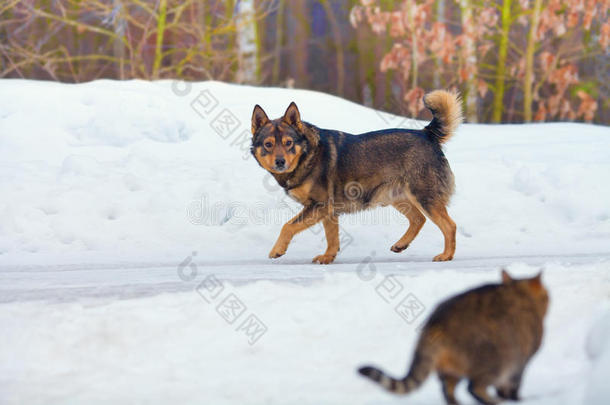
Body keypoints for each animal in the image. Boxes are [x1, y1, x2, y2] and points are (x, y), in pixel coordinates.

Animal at [248, 90, 460, 264]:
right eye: (268, 144)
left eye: (288, 143)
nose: (280, 162)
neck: (308, 155)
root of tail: (427, 134)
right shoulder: (328, 211)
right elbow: (332, 238)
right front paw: (328, 257)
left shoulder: (319, 205)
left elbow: (287, 226)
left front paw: (277, 250)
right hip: (397, 197)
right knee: (418, 220)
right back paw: (401, 244)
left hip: (424, 197)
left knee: (449, 226)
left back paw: (446, 255)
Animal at [356, 268, 548, 404]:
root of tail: (437, 324)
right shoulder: (520, 361)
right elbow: (512, 384)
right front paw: (514, 399)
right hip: (497, 357)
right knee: (474, 387)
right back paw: (492, 400)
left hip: (451, 367)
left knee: (448, 390)